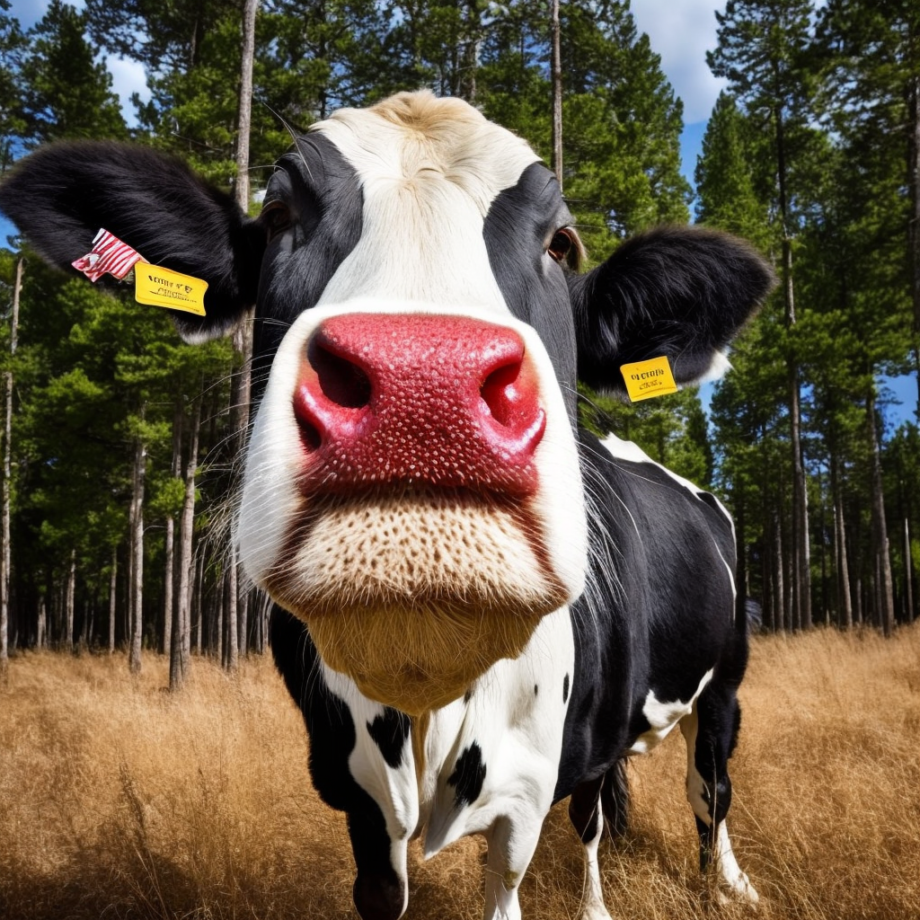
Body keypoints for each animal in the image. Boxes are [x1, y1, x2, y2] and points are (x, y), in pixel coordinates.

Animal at [0, 91, 773, 920]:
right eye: (278, 213)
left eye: (562, 242)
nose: (422, 386)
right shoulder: (350, 784)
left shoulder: (525, 791)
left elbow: (520, 875)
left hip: (726, 677)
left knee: (704, 788)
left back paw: (726, 885)